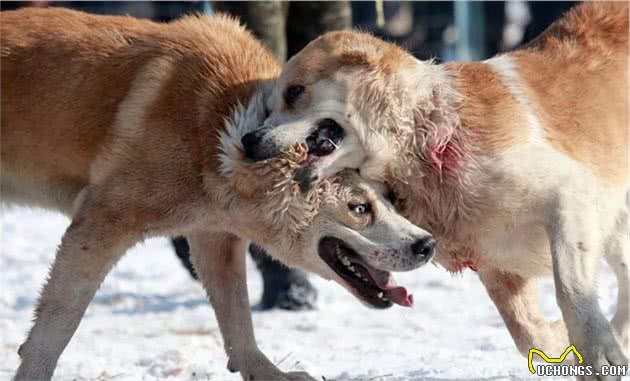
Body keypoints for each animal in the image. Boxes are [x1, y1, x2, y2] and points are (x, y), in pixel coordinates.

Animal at [0, 8, 436, 380]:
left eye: (390, 198)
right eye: (359, 208)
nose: (426, 245)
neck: (220, 132)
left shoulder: (216, 239)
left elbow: (238, 319)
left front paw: (267, 373)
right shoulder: (98, 226)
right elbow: (56, 326)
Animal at [242, 2, 630, 378]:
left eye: (294, 92)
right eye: (267, 107)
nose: (248, 141)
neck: (422, 133)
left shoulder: (569, 195)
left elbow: (570, 290)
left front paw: (599, 354)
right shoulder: (494, 261)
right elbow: (529, 333)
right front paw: (568, 346)